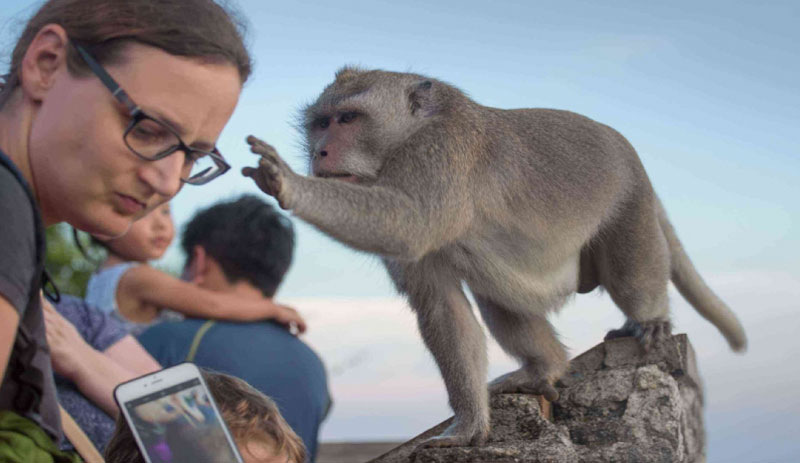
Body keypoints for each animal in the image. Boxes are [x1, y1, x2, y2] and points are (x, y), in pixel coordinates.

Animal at [241, 67, 748, 448]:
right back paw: (543, 368)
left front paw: (288, 183)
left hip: (631, 205)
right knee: (497, 295)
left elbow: (408, 223)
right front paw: (468, 423)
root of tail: (635, 160)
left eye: (347, 118)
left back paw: (649, 320)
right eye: (320, 122)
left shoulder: (439, 156)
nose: (319, 152)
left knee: (630, 276)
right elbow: (443, 307)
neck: (409, 135)